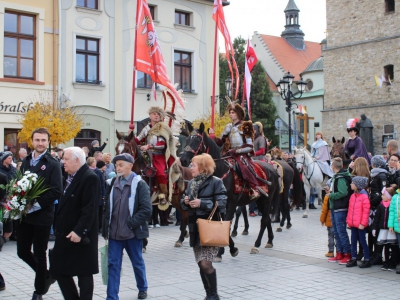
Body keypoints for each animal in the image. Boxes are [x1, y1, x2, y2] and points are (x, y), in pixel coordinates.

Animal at [180, 123, 280, 256]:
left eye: (197, 140)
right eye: (186, 140)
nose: (183, 160)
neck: (219, 172)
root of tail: (272, 168)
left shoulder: (231, 204)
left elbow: (226, 224)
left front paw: (223, 251)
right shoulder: (216, 206)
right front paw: (230, 249)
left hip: (267, 200)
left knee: (264, 220)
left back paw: (256, 244)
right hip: (260, 201)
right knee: (267, 218)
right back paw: (270, 240)